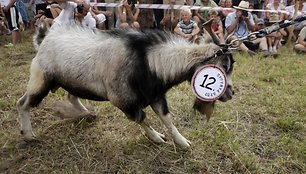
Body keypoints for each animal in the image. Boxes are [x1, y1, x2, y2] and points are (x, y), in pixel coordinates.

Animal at [16, 23, 235, 147]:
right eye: (224, 67)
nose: (231, 93)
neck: (149, 59)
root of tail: (43, 39)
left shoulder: (155, 95)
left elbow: (167, 119)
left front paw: (182, 143)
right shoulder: (123, 100)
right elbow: (142, 118)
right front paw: (157, 138)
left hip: (73, 81)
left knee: (71, 96)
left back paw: (87, 113)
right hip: (40, 80)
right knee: (22, 103)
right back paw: (28, 135)